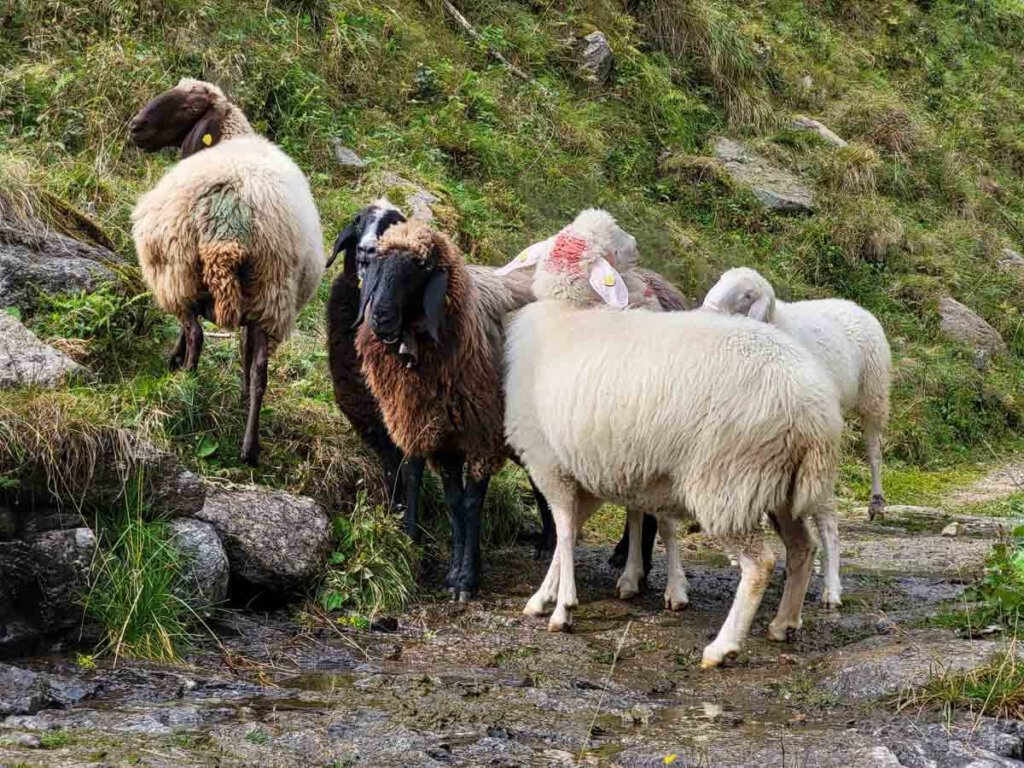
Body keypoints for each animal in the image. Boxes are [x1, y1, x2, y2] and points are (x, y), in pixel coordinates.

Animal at [130, 78, 323, 466]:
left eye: (190, 108)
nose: (135, 128)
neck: (231, 136)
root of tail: (228, 226)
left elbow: (186, 332)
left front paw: (173, 360)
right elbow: (247, 357)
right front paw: (241, 394)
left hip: (181, 273)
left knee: (196, 335)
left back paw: (185, 388)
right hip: (271, 294)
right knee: (261, 368)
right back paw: (249, 447)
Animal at [354, 219, 544, 598]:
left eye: (420, 268)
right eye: (377, 262)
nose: (380, 316)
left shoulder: (483, 434)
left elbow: (471, 504)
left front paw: (466, 580)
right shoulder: (443, 437)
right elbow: (454, 503)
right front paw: (456, 574)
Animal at [499, 237, 843, 671]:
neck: (566, 317)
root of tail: (815, 407)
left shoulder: (552, 466)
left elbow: (563, 530)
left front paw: (562, 609)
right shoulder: (587, 474)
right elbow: (570, 533)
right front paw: (545, 595)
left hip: (727, 480)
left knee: (760, 563)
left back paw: (723, 646)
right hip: (779, 484)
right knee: (802, 548)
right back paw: (784, 623)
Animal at [700, 268, 892, 610]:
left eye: (747, 295)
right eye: (719, 281)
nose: (705, 311)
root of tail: (852, 303)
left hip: (874, 394)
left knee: (874, 451)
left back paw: (876, 503)